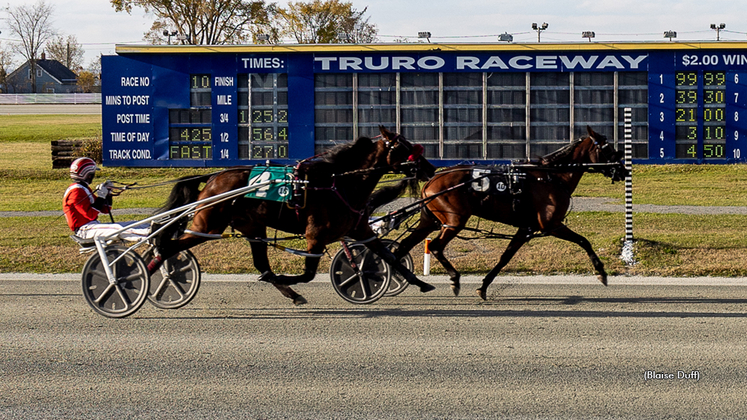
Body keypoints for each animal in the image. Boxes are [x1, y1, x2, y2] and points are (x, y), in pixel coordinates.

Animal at [148, 126, 436, 304]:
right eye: (405, 147)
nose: (430, 168)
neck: (338, 182)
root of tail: (213, 178)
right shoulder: (315, 235)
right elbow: (308, 273)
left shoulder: (360, 230)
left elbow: (390, 256)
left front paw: (421, 283)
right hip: (208, 226)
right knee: (169, 245)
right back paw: (149, 271)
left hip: (251, 227)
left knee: (262, 265)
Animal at [394, 126, 628, 300]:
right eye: (608, 148)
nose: (623, 170)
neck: (550, 177)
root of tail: (432, 179)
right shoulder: (551, 224)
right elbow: (583, 241)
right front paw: (601, 273)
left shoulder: (525, 228)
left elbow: (505, 257)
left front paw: (483, 287)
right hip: (454, 221)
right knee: (435, 246)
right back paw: (453, 278)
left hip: (429, 221)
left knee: (403, 247)